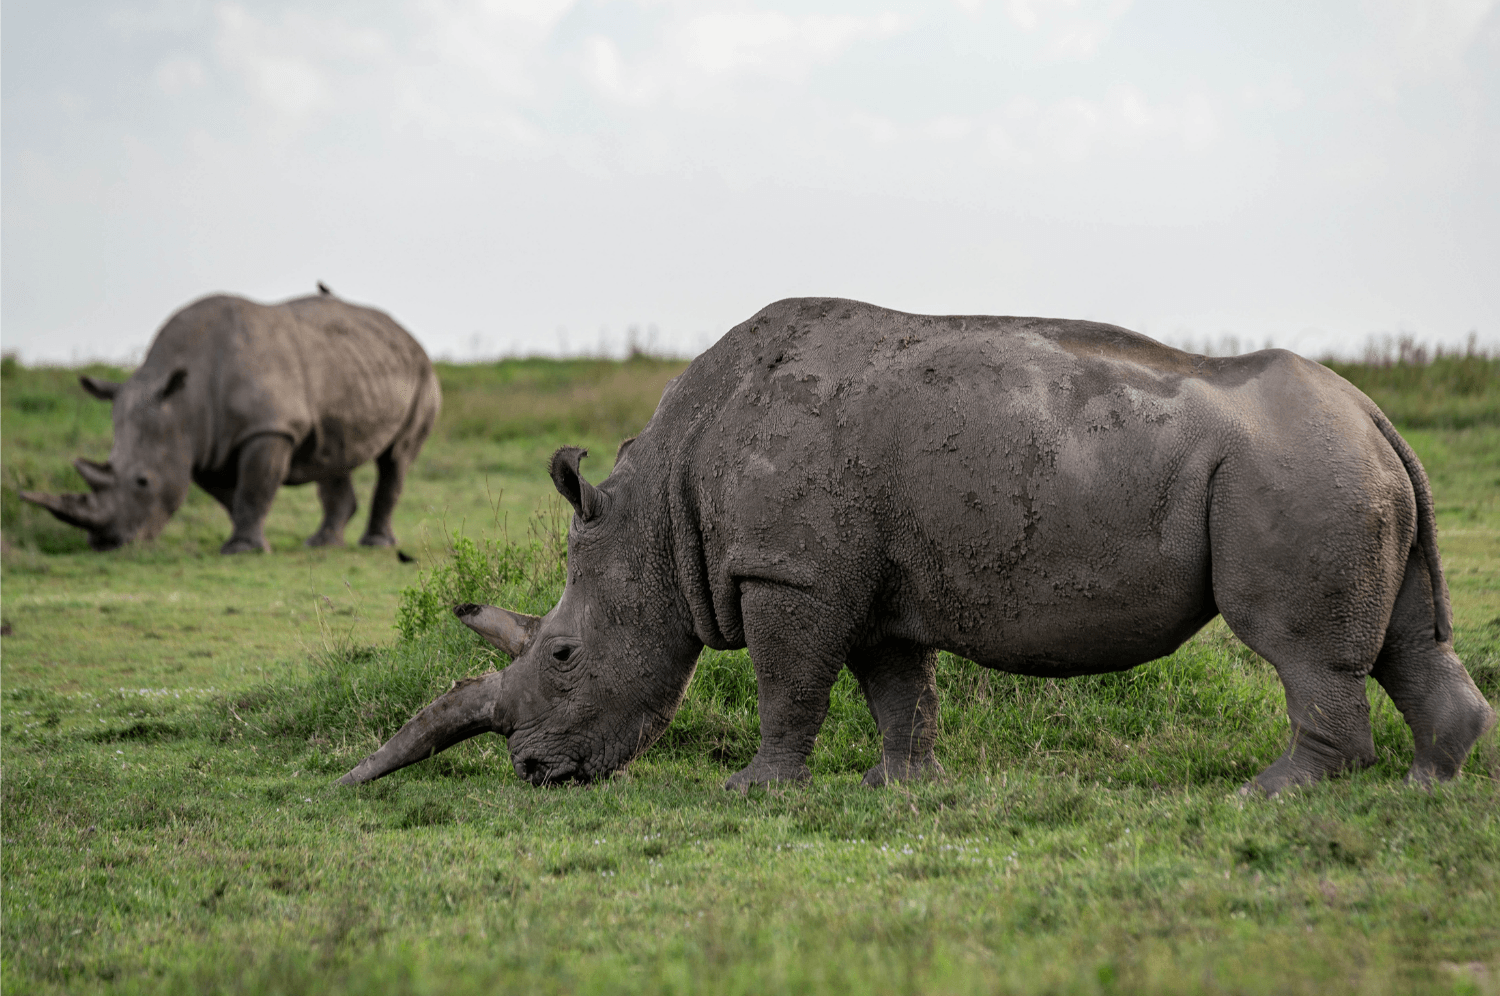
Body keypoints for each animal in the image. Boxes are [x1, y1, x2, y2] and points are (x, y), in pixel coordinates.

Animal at [21, 288, 440, 554]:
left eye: (143, 481)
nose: (106, 543)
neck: (185, 402)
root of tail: (407, 335)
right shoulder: (205, 443)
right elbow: (233, 494)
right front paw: (243, 540)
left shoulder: (268, 429)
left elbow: (254, 487)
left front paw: (242, 550)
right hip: (358, 363)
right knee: (332, 451)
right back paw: (321, 543)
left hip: (421, 375)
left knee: (395, 459)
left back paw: (375, 544)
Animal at [341, 298, 1495, 795]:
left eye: (565, 655)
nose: (536, 772)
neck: (659, 507)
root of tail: (1378, 416)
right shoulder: (857, 579)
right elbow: (895, 687)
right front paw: (901, 789)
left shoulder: (789, 571)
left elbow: (788, 685)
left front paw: (756, 793)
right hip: (1342, 466)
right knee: (1406, 638)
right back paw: (1428, 786)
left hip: (1297, 470)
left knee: (1298, 648)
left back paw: (1275, 797)